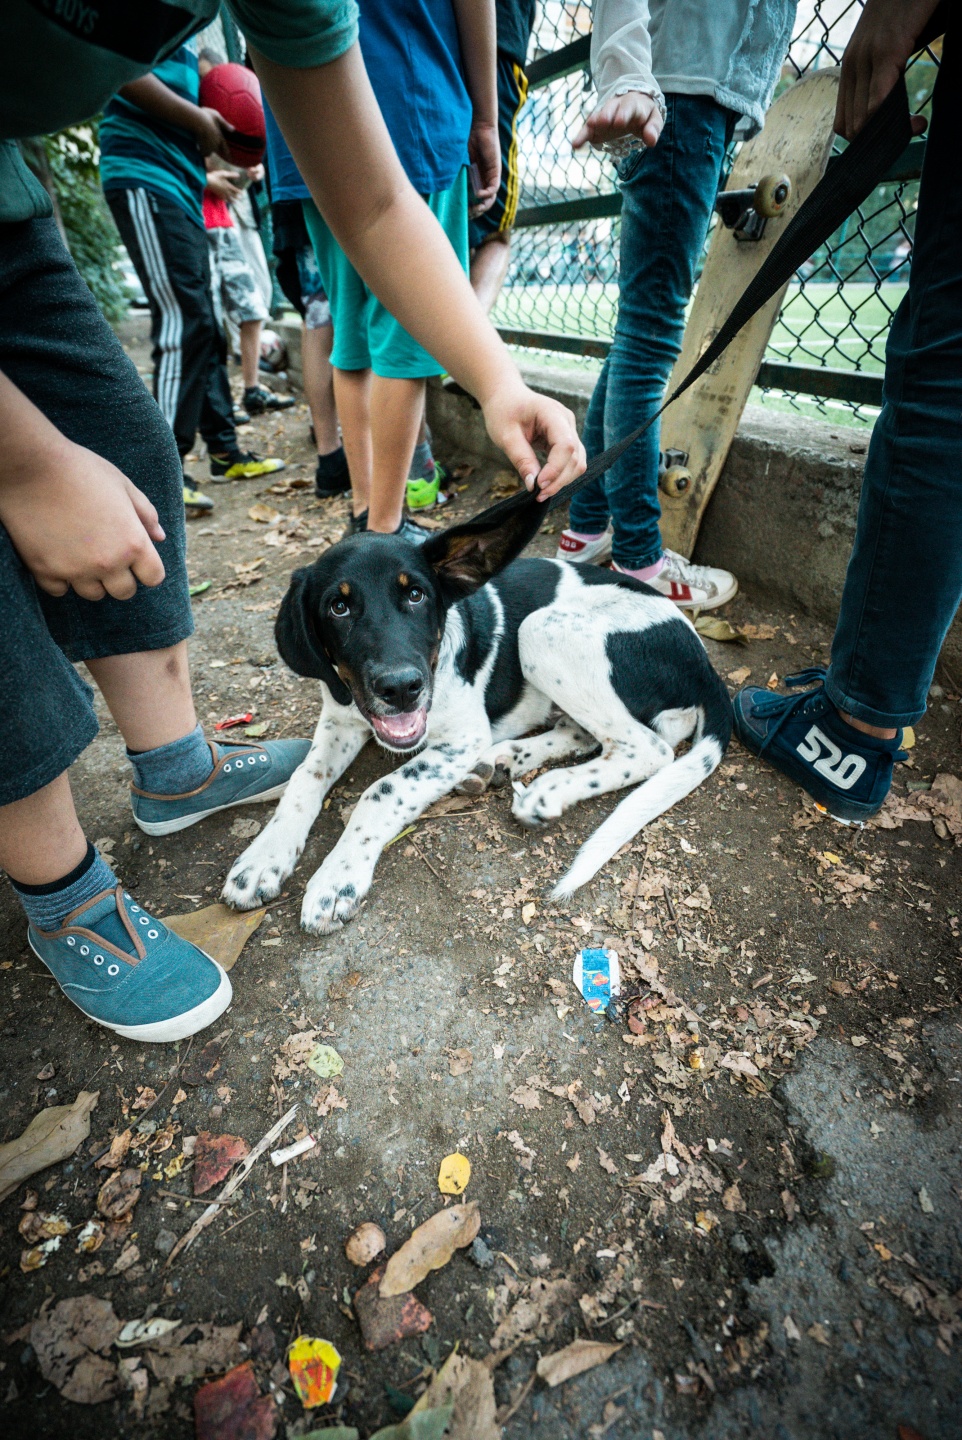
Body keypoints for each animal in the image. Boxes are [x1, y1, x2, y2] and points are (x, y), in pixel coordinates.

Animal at [222, 501, 731, 933]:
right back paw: (505, 761)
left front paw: (336, 878)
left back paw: (548, 790)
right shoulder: (341, 718)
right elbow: (304, 777)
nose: (401, 689)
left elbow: (380, 791)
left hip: (543, 630)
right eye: (338, 606)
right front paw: (264, 856)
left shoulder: (460, 738)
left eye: (416, 595)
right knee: (586, 734)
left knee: (649, 747)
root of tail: (704, 662)